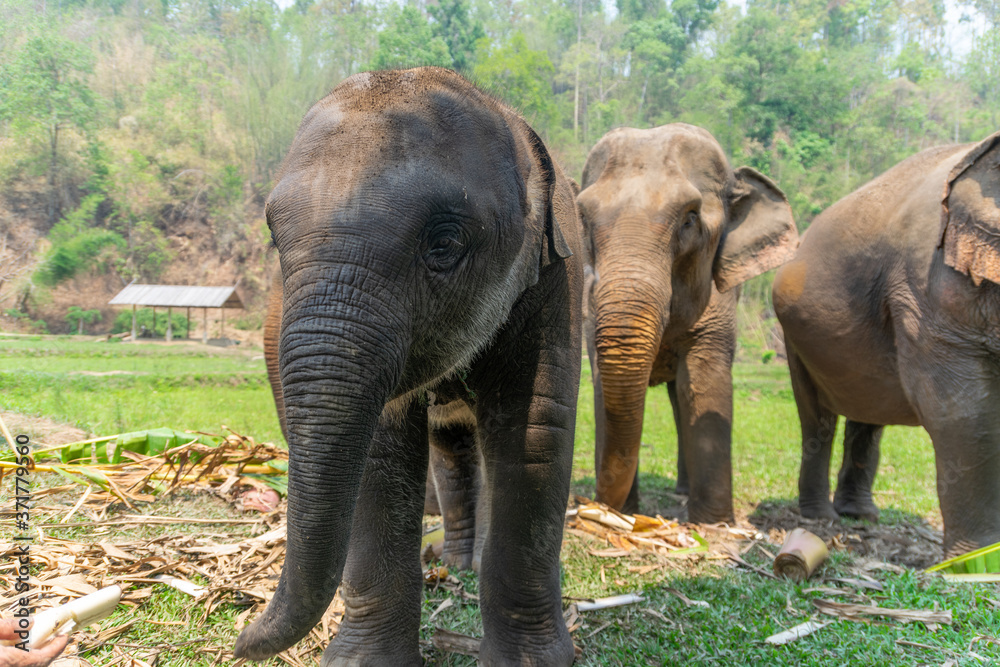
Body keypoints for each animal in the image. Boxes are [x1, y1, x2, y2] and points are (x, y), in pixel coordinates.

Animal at [237, 69, 584, 667]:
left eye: (444, 242)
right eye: (275, 240)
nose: (240, 633)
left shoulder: (558, 283)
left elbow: (533, 432)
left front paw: (530, 663)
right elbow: (380, 447)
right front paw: (360, 662)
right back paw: (455, 562)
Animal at [580, 124, 796, 520]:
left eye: (690, 218)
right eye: (584, 219)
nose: (596, 503)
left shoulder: (719, 300)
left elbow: (703, 382)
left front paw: (712, 522)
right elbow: (604, 385)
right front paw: (623, 514)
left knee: (680, 397)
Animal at [772, 133, 1000, 556]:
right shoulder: (929, 294)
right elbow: (962, 411)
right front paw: (977, 558)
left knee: (867, 411)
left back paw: (860, 515)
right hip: (793, 337)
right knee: (817, 418)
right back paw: (821, 518)